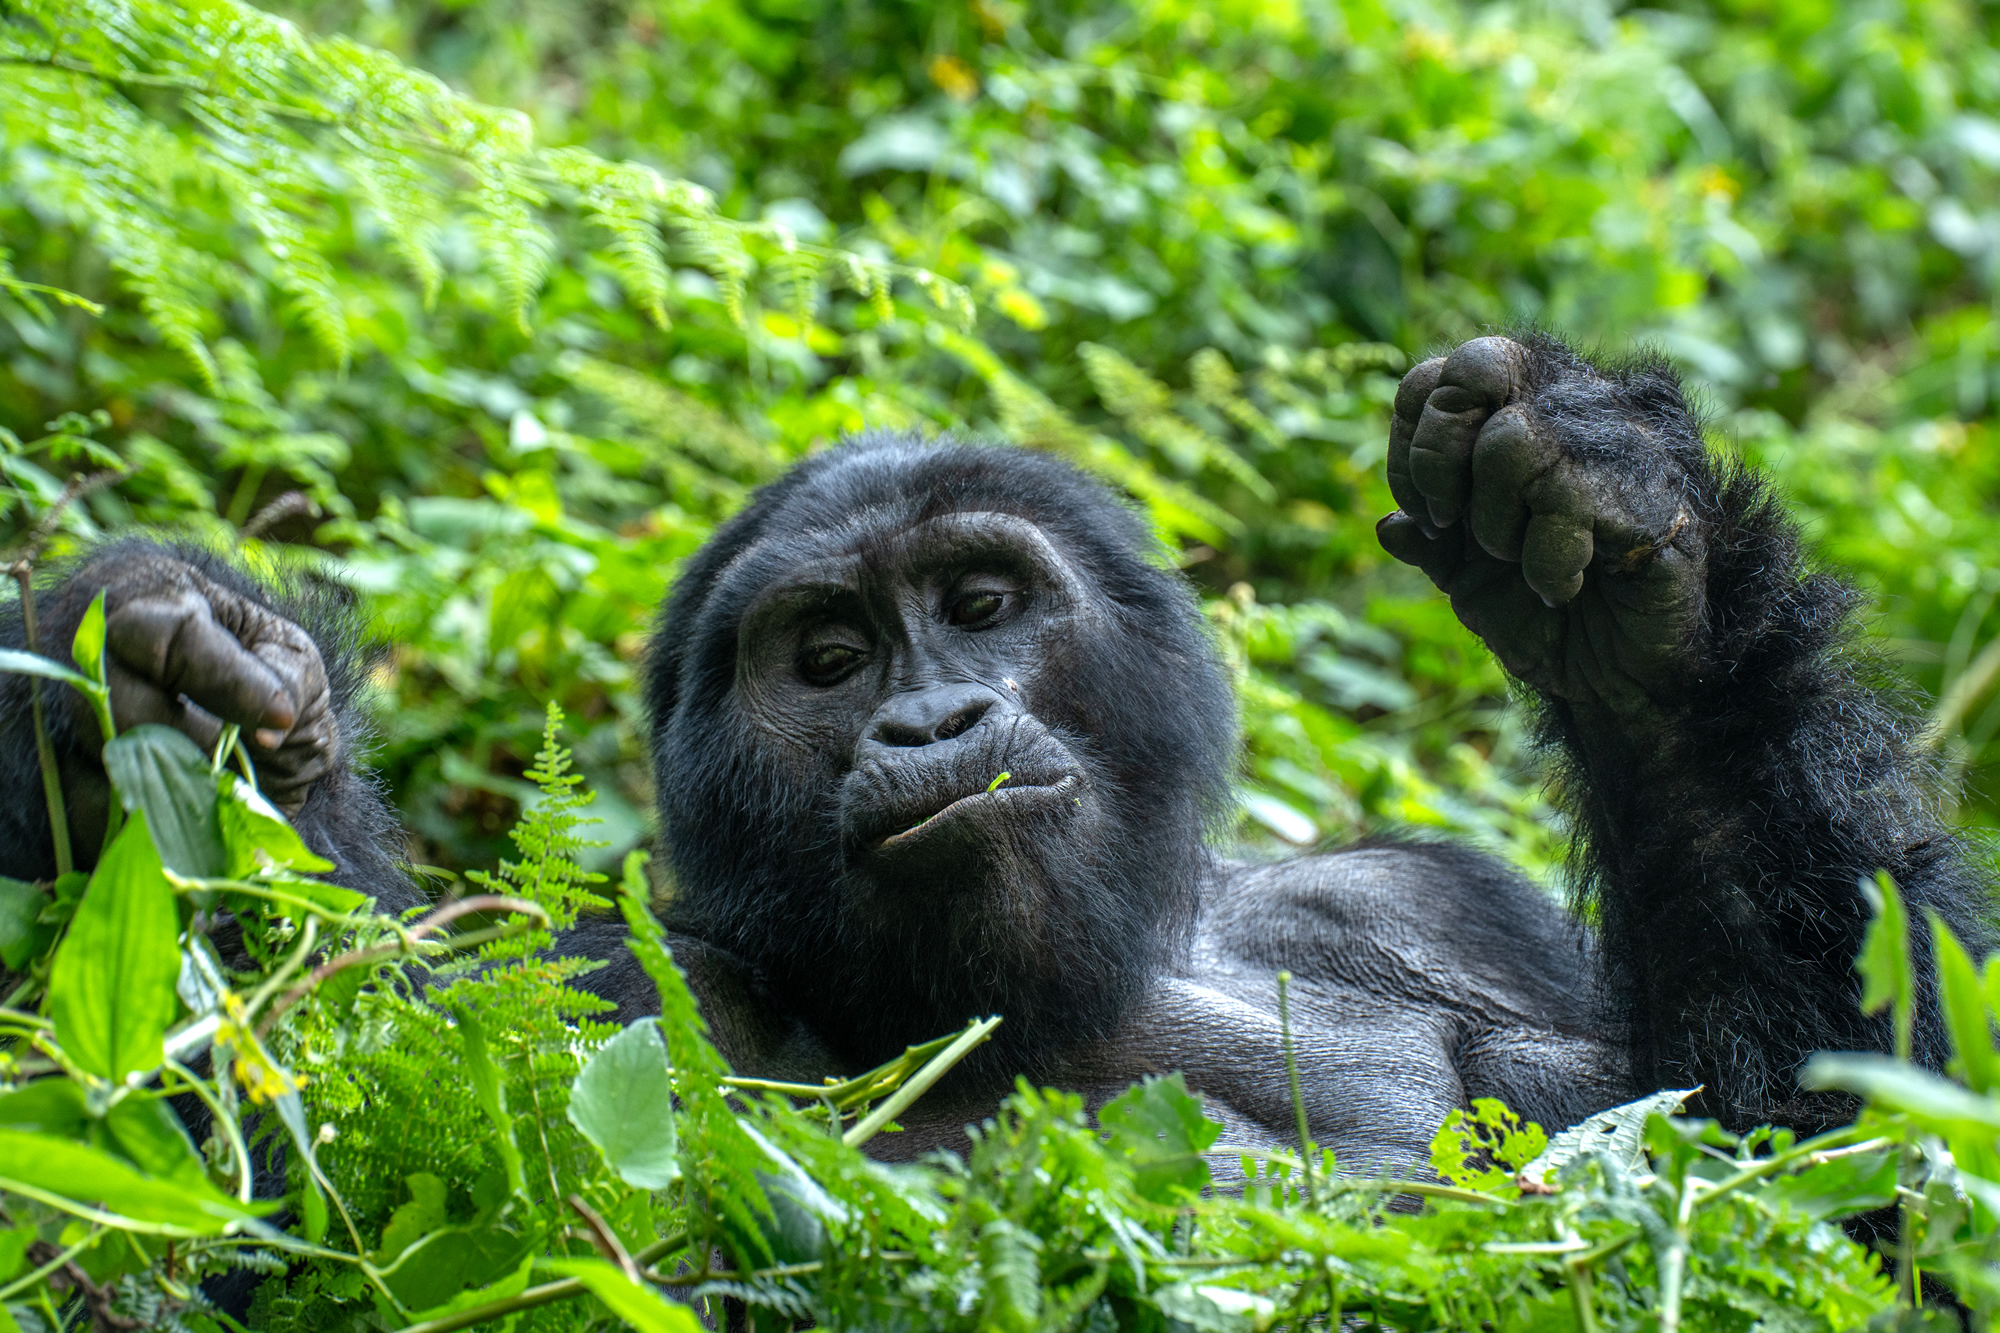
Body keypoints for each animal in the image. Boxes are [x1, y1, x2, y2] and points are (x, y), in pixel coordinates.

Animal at [3, 332, 1990, 1181]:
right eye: (825, 660)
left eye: (977, 602)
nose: (929, 718)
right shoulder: (609, 985)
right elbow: (352, 1161)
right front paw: (154, 704)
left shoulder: (1429, 896)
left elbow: (1813, 1125)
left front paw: (1634, 594)